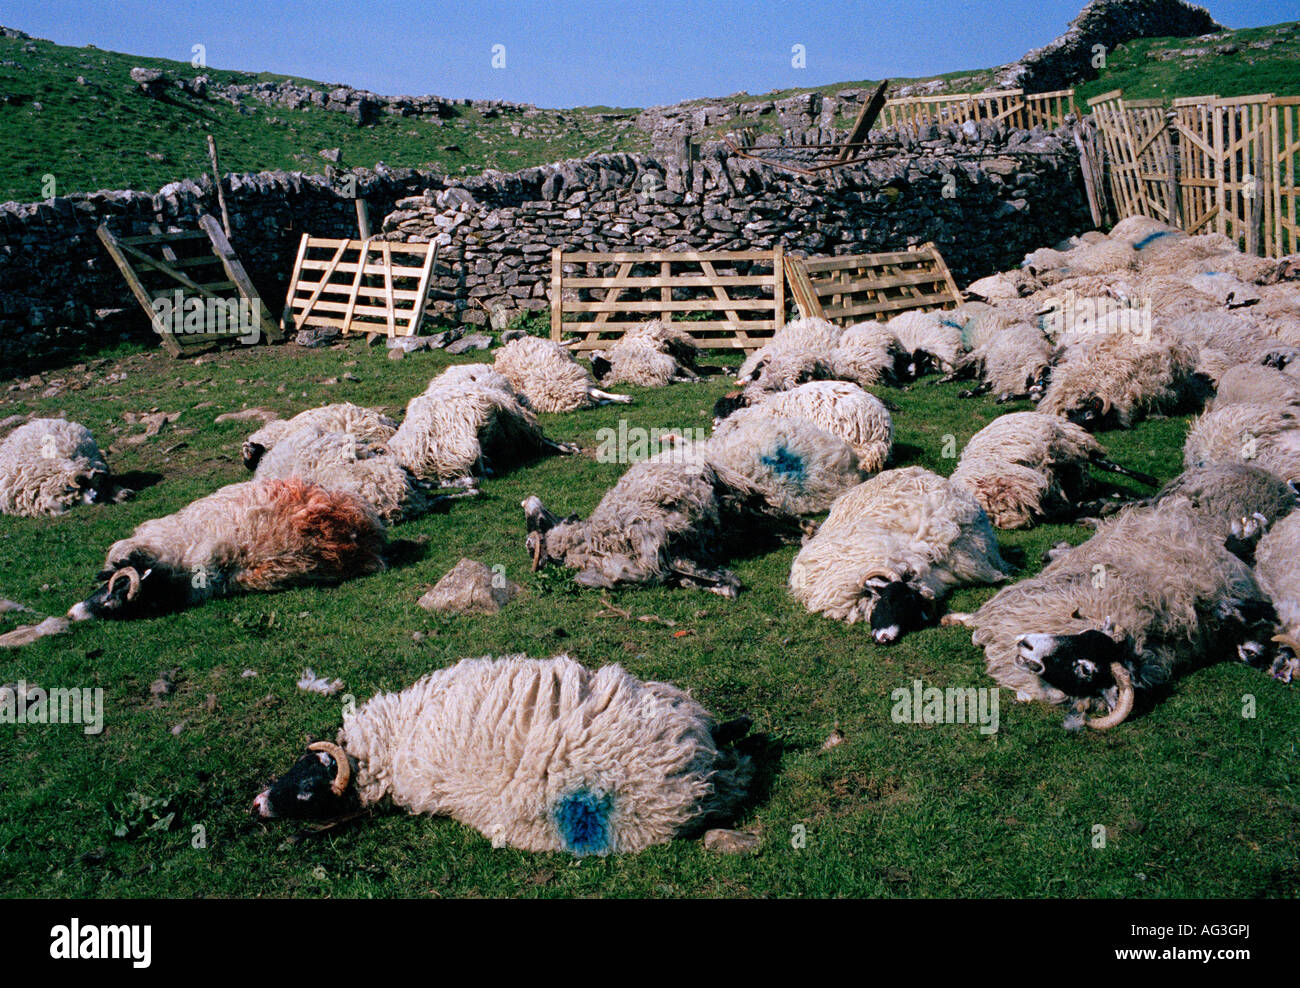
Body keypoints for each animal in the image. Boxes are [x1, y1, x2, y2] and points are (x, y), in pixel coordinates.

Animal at [494, 336, 630, 412]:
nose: (591, 354)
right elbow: (599, 394)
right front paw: (623, 398)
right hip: (572, 382)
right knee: (596, 395)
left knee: (555, 342)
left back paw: (574, 340)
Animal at [523, 450, 794, 597]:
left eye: (539, 520)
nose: (527, 500)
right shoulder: (675, 555)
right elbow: (688, 575)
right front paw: (721, 584)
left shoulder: (658, 544)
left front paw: (727, 583)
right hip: (729, 507)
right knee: (753, 517)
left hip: (732, 484)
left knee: (767, 503)